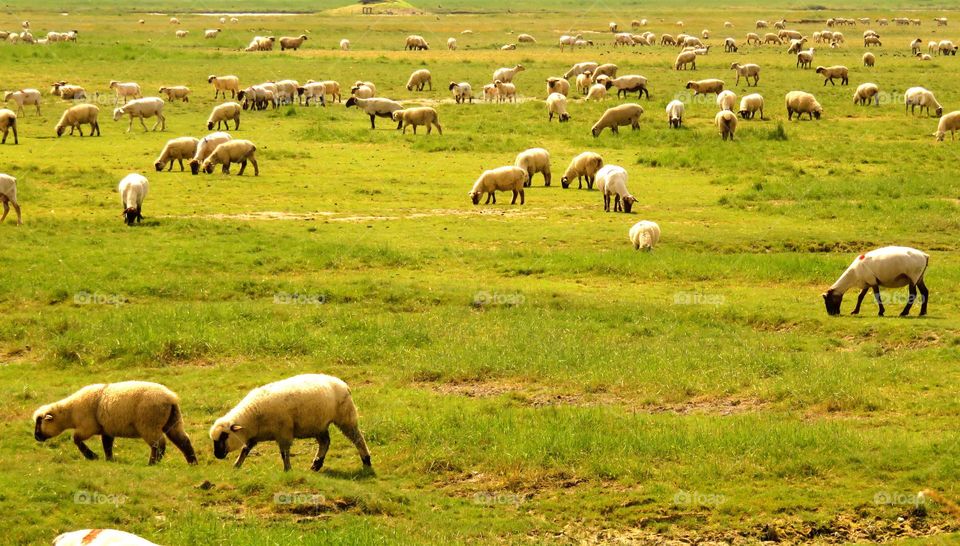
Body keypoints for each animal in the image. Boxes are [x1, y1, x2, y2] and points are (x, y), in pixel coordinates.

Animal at [33, 380, 197, 463]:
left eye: (40, 422)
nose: (36, 437)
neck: (70, 412)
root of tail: (170, 397)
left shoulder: (87, 427)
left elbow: (76, 439)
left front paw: (91, 456)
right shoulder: (107, 429)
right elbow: (107, 445)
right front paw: (109, 459)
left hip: (149, 424)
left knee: (159, 444)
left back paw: (152, 463)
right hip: (174, 421)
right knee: (183, 440)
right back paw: (192, 462)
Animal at [210, 374, 370, 472]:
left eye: (224, 436)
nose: (217, 455)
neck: (252, 416)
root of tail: (343, 384)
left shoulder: (284, 432)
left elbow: (284, 453)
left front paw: (287, 469)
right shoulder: (254, 436)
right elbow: (245, 450)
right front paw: (236, 465)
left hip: (346, 417)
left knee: (358, 439)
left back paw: (366, 461)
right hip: (317, 424)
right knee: (325, 442)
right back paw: (316, 464)